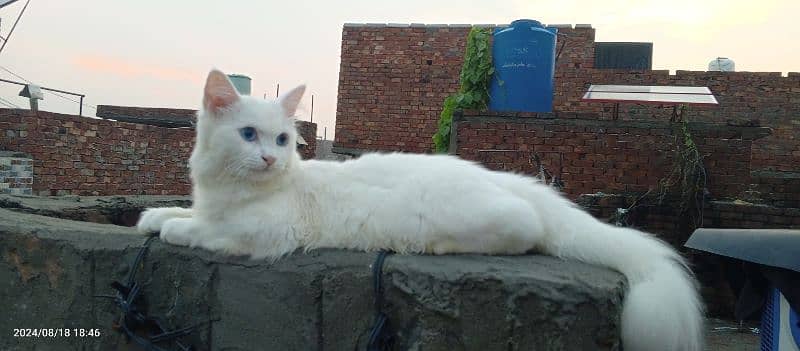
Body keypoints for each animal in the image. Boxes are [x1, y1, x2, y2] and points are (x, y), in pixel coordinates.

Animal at [139, 69, 708, 351]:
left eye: (281, 139)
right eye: (249, 135)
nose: (270, 158)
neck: (227, 189)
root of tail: (512, 180)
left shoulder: (267, 233)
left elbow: (208, 231)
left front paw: (176, 231)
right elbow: (183, 214)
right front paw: (159, 217)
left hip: (476, 217)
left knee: (524, 232)